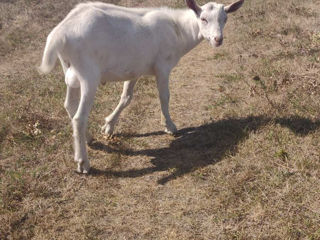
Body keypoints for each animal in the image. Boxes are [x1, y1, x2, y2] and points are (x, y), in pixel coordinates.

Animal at [40, 0, 245, 172]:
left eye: (225, 19)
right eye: (203, 19)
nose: (218, 39)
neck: (178, 30)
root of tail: (60, 32)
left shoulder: (134, 70)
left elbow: (126, 98)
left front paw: (108, 126)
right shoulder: (163, 66)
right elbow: (164, 96)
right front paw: (169, 126)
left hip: (70, 70)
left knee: (69, 105)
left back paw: (87, 138)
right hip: (88, 74)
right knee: (79, 118)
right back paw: (83, 162)